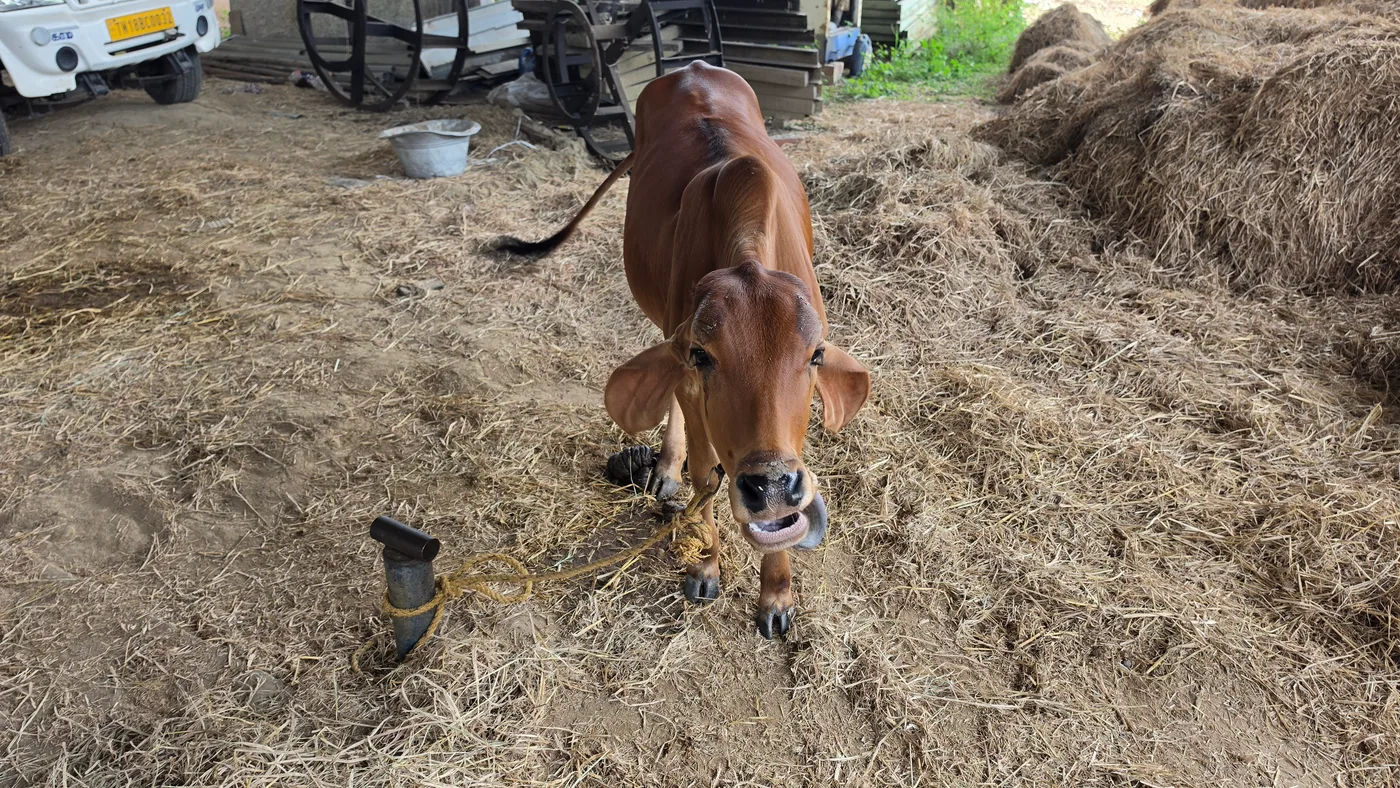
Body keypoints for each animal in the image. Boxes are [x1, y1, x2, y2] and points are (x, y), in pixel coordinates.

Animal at [498, 61, 870, 638]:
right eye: (702, 355)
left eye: (814, 356)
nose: (770, 486)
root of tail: (693, 67)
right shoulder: (691, 380)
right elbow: (702, 473)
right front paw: (705, 564)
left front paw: (776, 595)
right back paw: (667, 468)